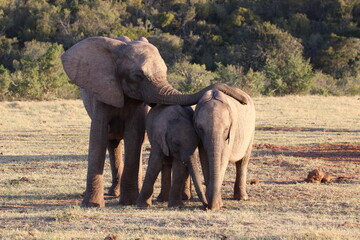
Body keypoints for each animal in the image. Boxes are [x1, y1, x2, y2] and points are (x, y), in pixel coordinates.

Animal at [61, 36, 248, 208]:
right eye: (138, 76)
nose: (244, 100)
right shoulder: (101, 89)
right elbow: (98, 135)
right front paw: (92, 205)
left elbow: (134, 135)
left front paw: (129, 202)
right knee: (111, 141)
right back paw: (114, 193)